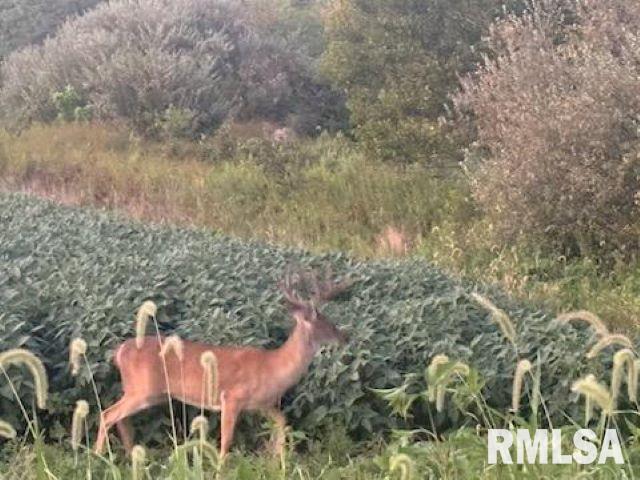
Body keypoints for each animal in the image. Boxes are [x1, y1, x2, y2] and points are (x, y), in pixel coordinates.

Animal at [95, 268, 350, 456]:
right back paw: (97, 457)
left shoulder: (261, 404)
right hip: (142, 389)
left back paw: (131, 457)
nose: (345, 337)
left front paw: (278, 462)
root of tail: (120, 351)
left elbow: (282, 423)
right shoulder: (231, 398)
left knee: (121, 419)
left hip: (151, 393)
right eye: (327, 323)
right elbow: (226, 441)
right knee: (107, 414)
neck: (273, 367)